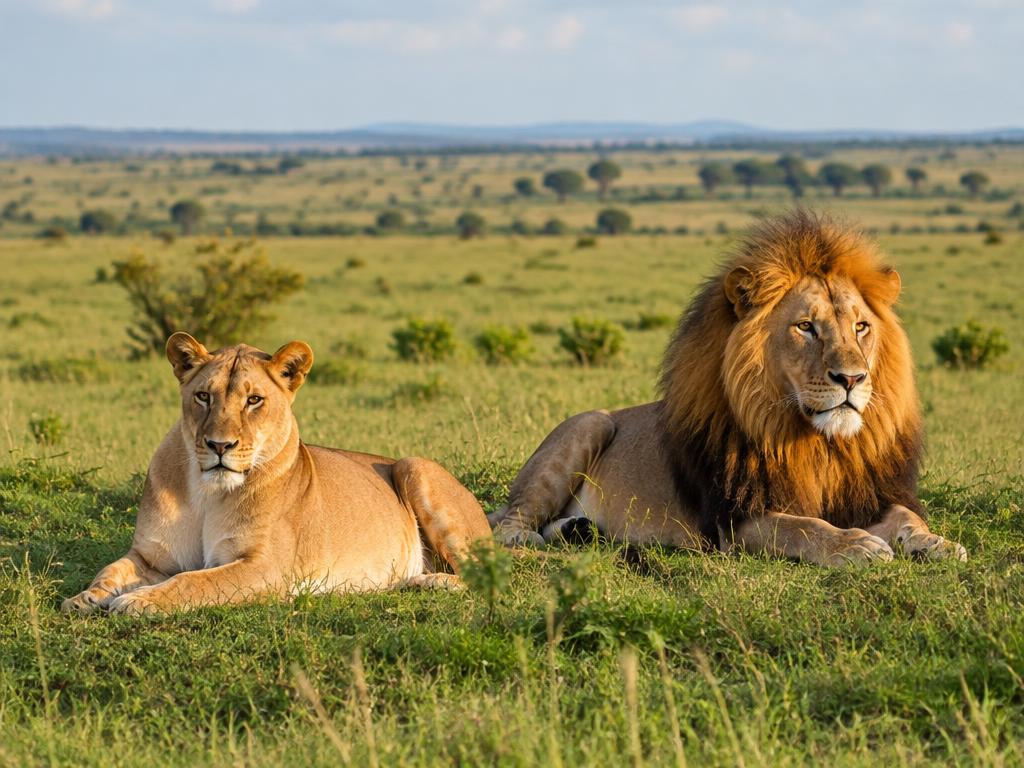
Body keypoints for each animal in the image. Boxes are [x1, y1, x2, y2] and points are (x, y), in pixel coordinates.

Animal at [63, 332, 491, 616]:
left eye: (254, 400)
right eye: (203, 396)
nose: (219, 446)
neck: (207, 492)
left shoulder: (265, 568)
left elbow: (195, 581)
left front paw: (137, 601)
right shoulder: (151, 557)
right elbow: (110, 570)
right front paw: (85, 598)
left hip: (413, 466)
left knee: (485, 573)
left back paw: (429, 582)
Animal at [489, 211, 967, 566]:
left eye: (861, 327)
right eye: (806, 327)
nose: (851, 379)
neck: (819, 444)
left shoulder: (868, 495)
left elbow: (905, 516)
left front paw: (937, 543)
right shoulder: (736, 520)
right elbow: (803, 527)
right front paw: (855, 545)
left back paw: (578, 529)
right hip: (587, 426)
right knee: (511, 518)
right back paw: (526, 539)